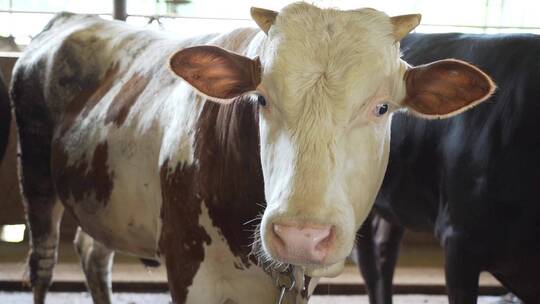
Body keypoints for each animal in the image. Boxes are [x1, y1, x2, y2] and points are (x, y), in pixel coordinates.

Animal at [11, 2, 494, 304]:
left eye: (382, 108)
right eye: (260, 99)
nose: (301, 235)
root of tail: (69, 19)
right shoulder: (187, 269)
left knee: (92, 252)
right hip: (34, 175)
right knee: (43, 261)